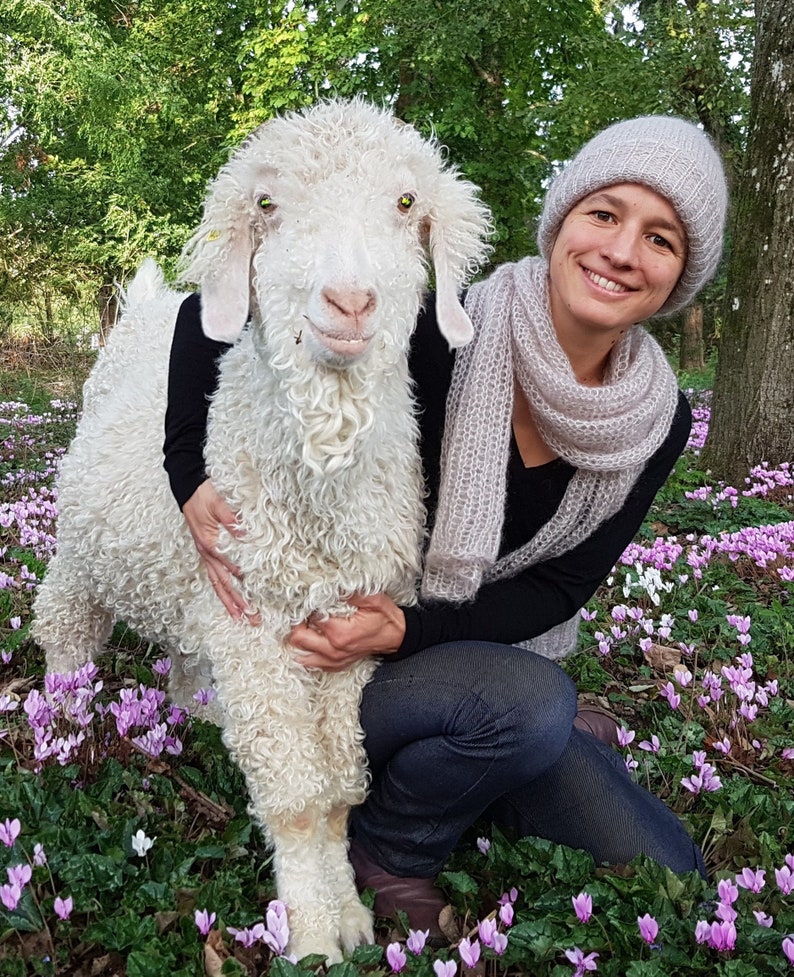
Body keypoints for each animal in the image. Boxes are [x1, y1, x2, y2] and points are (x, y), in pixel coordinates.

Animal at [34, 101, 492, 960]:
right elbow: (296, 795)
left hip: (187, 586)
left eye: (407, 203)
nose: (348, 303)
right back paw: (63, 723)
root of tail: (144, 312)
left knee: (181, 661)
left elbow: (341, 783)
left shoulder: (351, 630)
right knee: (64, 627)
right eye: (269, 206)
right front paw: (312, 934)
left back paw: (198, 713)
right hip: (83, 554)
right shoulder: (254, 629)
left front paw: (350, 912)